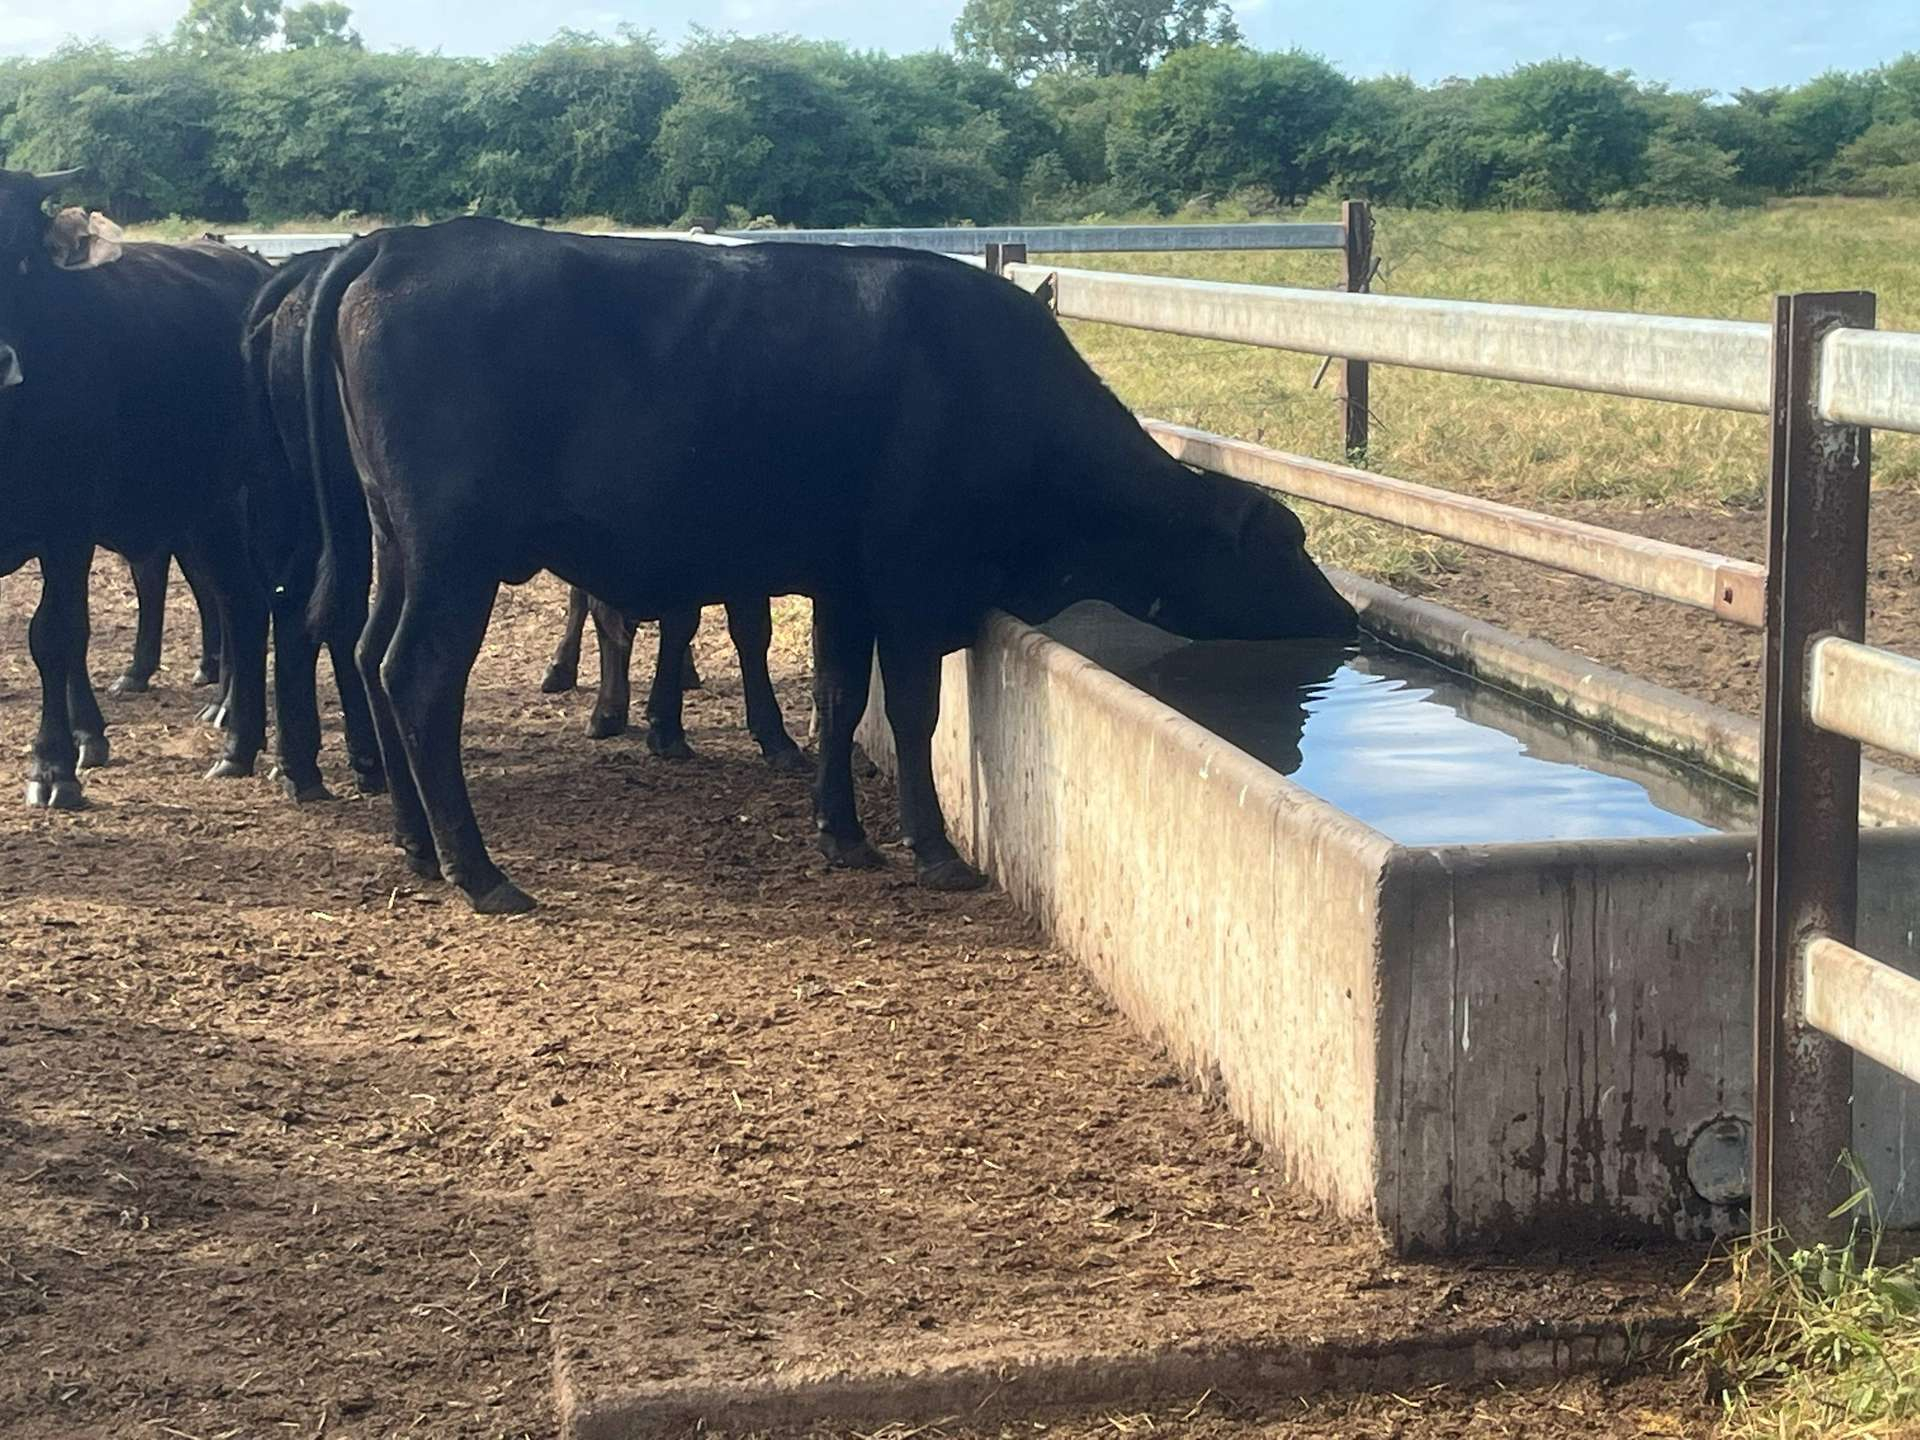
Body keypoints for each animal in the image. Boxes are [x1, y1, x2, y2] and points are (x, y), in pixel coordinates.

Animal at [0, 172, 272, 809]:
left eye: (22, 258)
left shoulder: (67, 525)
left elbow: (56, 635)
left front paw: (53, 765)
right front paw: (86, 736)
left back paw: (239, 734)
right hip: (207, 509)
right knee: (238, 597)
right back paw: (235, 737)